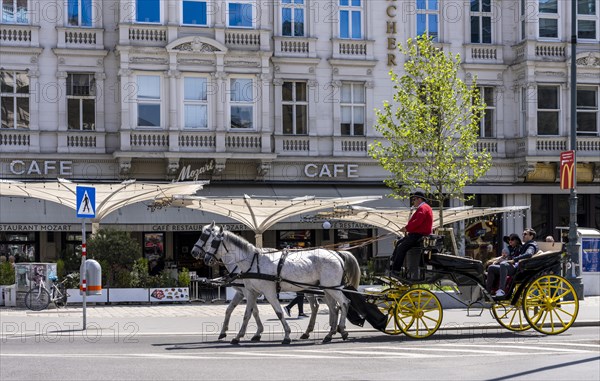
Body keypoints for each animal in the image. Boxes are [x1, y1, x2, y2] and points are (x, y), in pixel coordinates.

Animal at [193, 221, 360, 342]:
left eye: (211, 240)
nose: (197, 254)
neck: (251, 261)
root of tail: (336, 254)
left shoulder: (267, 292)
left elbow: (277, 312)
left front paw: (286, 335)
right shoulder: (250, 292)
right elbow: (246, 313)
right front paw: (238, 335)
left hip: (331, 288)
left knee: (343, 303)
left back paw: (341, 330)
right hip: (326, 288)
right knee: (332, 307)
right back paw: (329, 333)